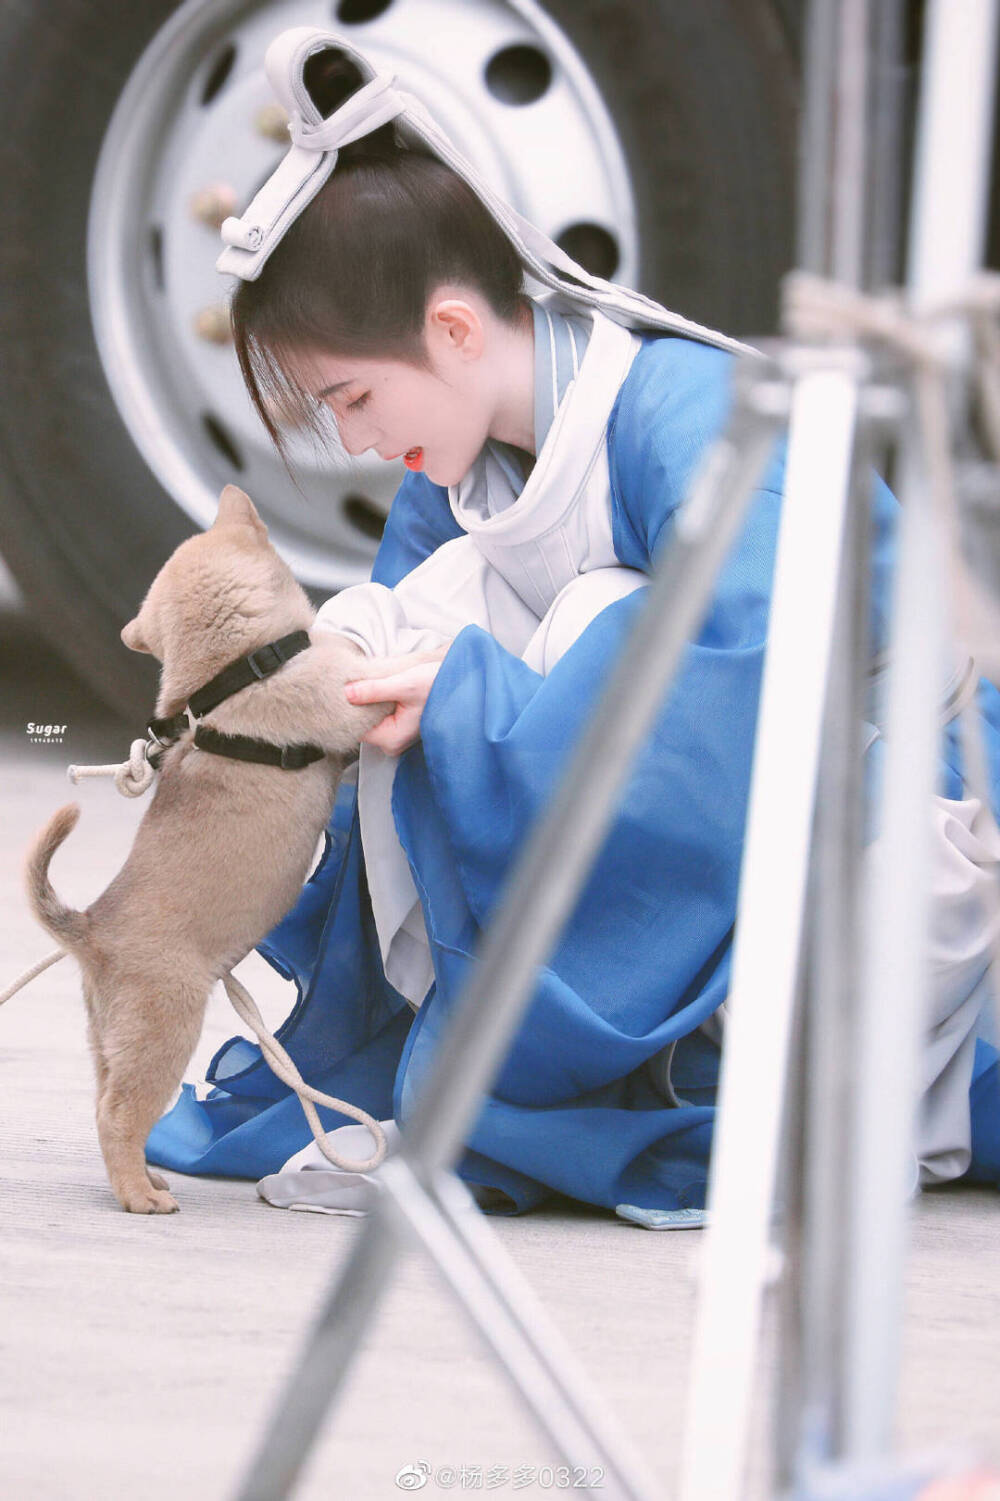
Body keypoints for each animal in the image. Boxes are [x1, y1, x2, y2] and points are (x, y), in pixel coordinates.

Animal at [23, 486, 393, 1212]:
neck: (233, 669)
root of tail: (92, 931)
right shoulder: (343, 698)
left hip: (111, 1041)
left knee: (106, 1101)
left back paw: (145, 1177)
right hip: (166, 1031)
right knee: (117, 1116)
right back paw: (141, 1196)